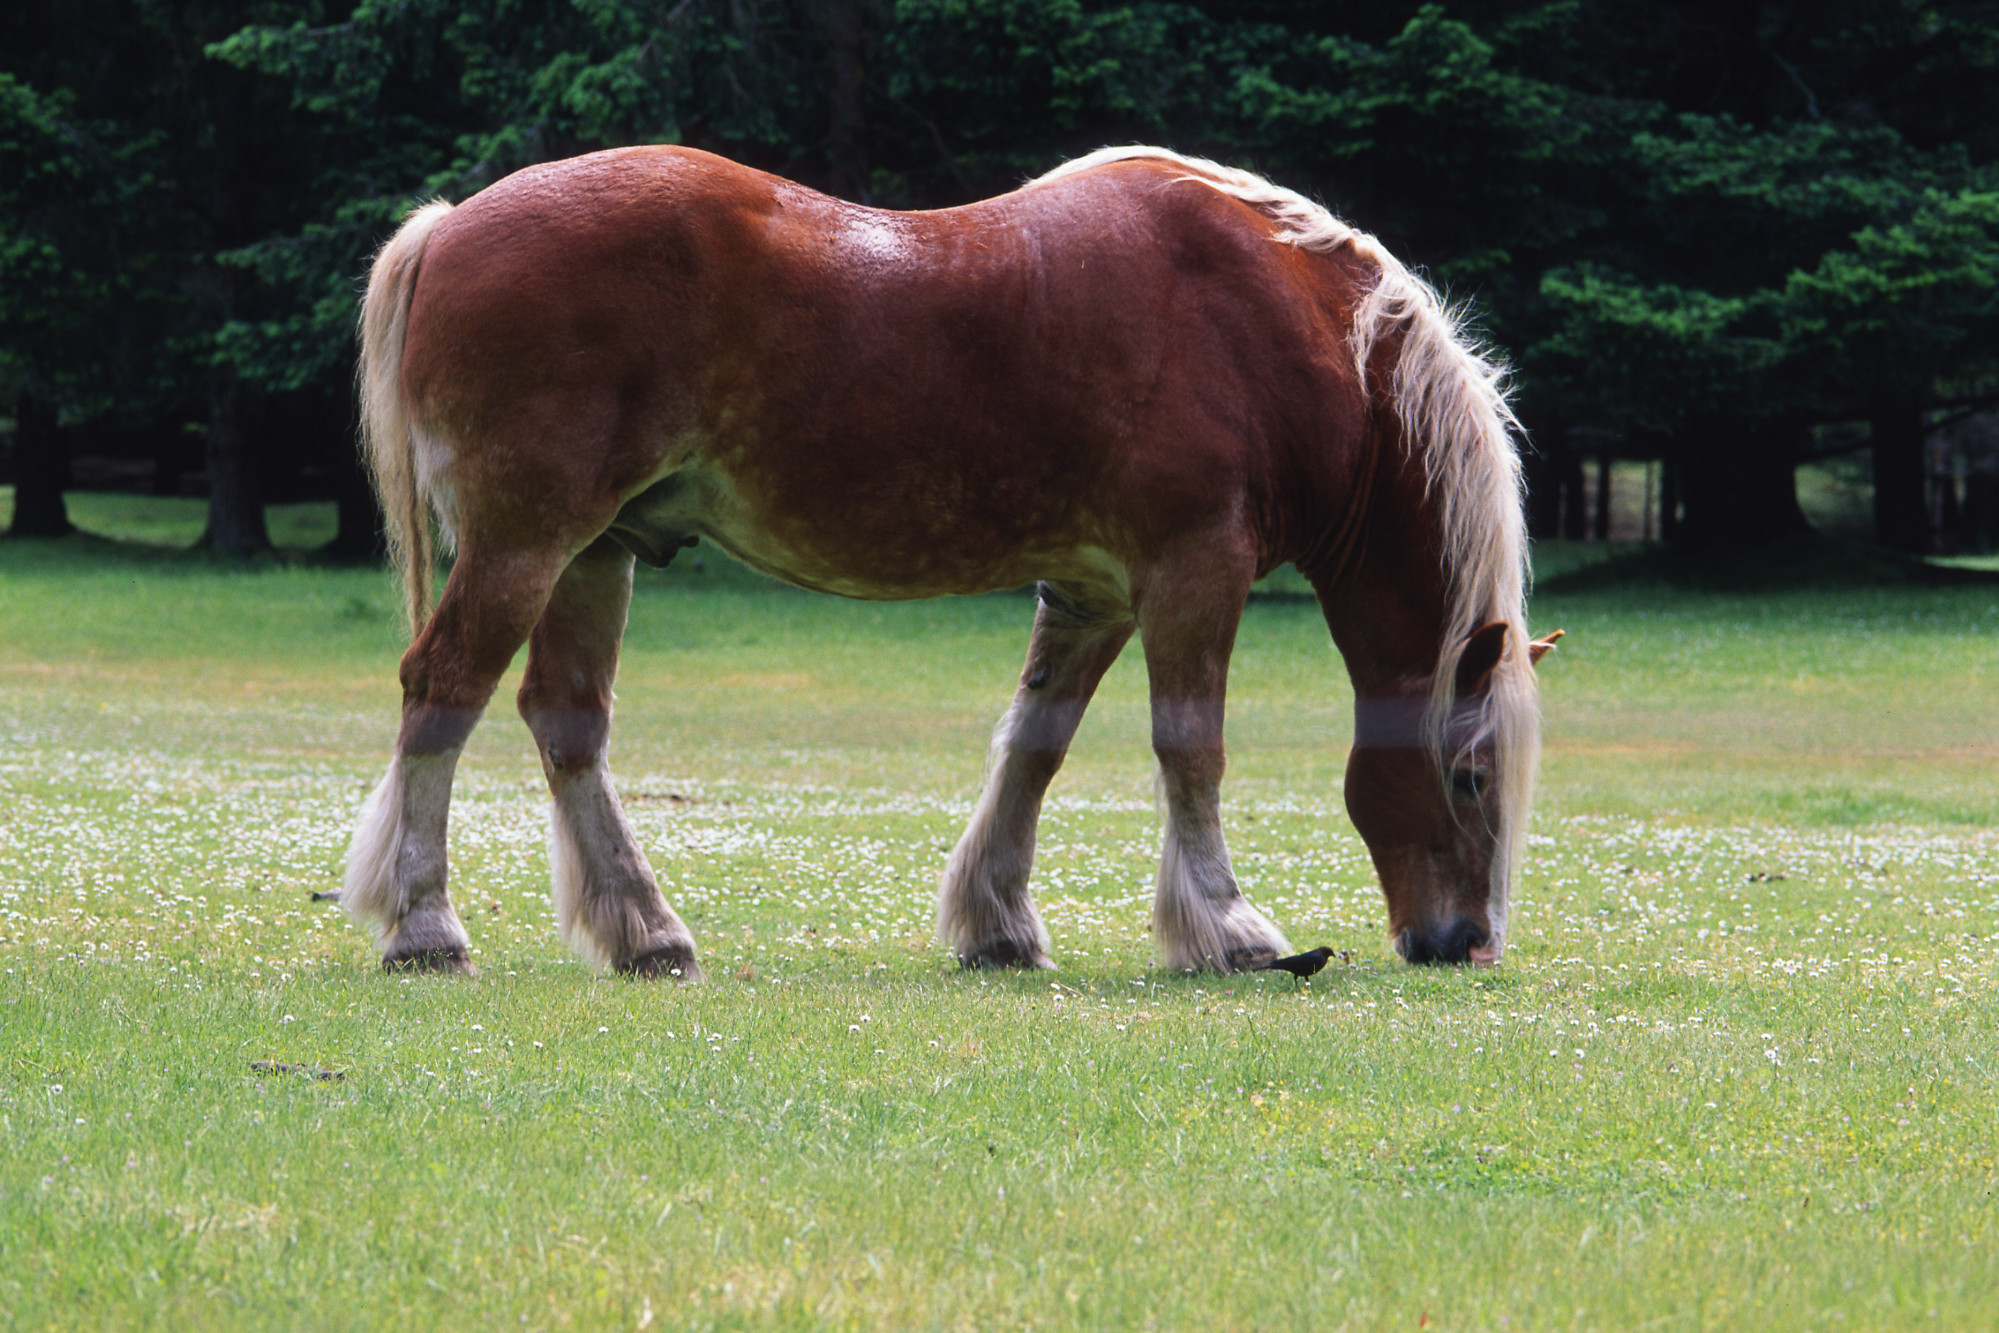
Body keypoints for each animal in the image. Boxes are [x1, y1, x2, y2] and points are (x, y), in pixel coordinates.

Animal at [338, 143, 1553, 979]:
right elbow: (1190, 747)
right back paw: (425, 926)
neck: (1272, 323)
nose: (1461, 941)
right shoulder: (1192, 568)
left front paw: (998, 922)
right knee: (442, 690)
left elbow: (1035, 744)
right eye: (1468, 773)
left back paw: (646, 932)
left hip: (595, 554)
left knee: (566, 722)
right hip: (524, 543)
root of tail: (449, 226)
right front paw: (1229, 927)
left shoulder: (1095, 593)